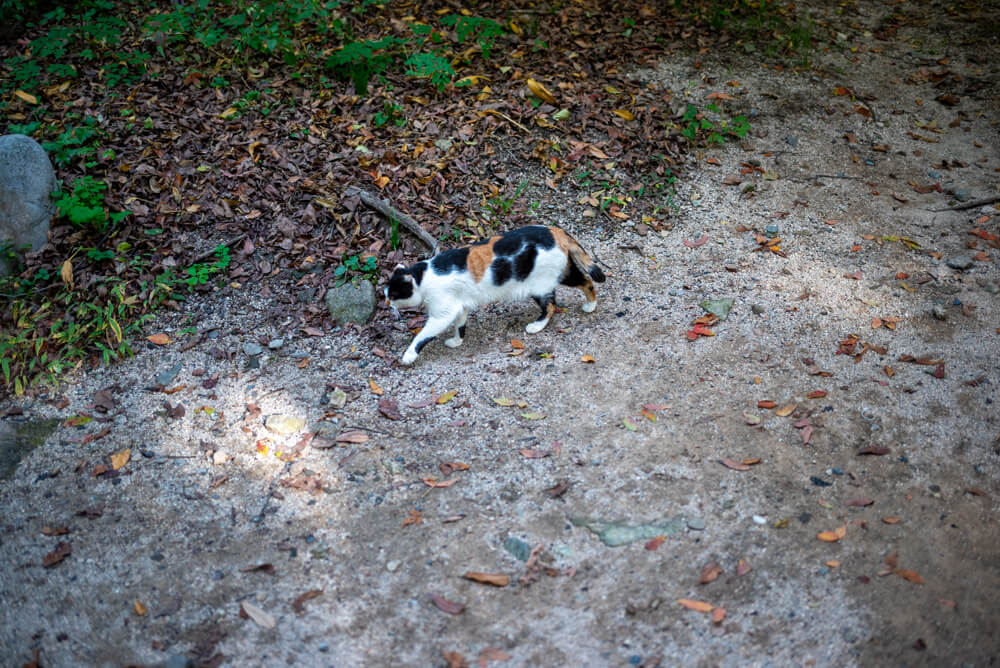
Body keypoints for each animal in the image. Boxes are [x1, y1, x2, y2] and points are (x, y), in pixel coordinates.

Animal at [384, 226, 604, 366]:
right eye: (386, 291)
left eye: (394, 294)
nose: (386, 302)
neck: (423, 276)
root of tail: (556, 231)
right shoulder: (459, 306)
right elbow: (460, 325)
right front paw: (457, 342)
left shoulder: (442, 313)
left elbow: (423, 335)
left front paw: (409, 355)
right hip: (562, 273)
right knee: (587, 281)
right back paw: (591, 305)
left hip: (540, 285)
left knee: (550, 306)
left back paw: (537, 325)